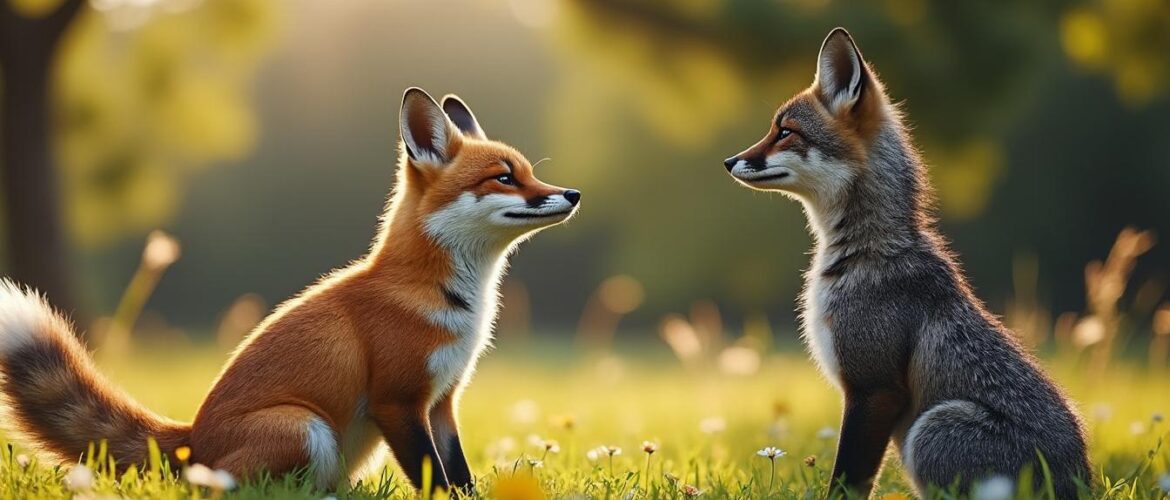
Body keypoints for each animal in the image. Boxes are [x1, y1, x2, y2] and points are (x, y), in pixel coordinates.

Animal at [0, 87, 581, 492]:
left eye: (529, 173)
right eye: (504, 178)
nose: (572, 193)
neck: (450, 300)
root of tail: (191, 440)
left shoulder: (442, 402)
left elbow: (459, 477)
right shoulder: (398, 400)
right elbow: (435, 480)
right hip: (304, 427)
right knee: (231, 491)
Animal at [723, 29, 1090, 497]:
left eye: (785, 132)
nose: (728, 161)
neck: (865, 252)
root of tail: (1082, 481)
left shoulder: (874, 389)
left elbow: (847, 481)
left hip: (934, 427)